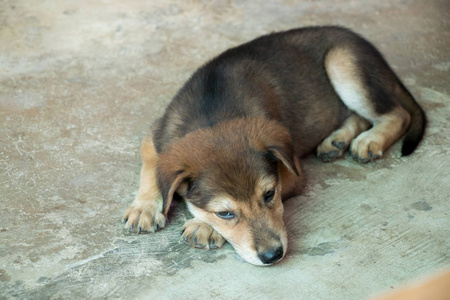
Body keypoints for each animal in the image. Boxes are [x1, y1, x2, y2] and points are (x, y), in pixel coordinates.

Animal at [123, 25, 426, 264]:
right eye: (225, 213)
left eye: (270, 194)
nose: (272, 256)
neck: (212, 115)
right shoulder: (155, 135)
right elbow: (152, 167)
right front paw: (144, 208)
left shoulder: (293, 172)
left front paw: (201, 225)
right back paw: (336, 141)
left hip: (343, 63)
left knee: (398, 114)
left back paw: (369, 140)